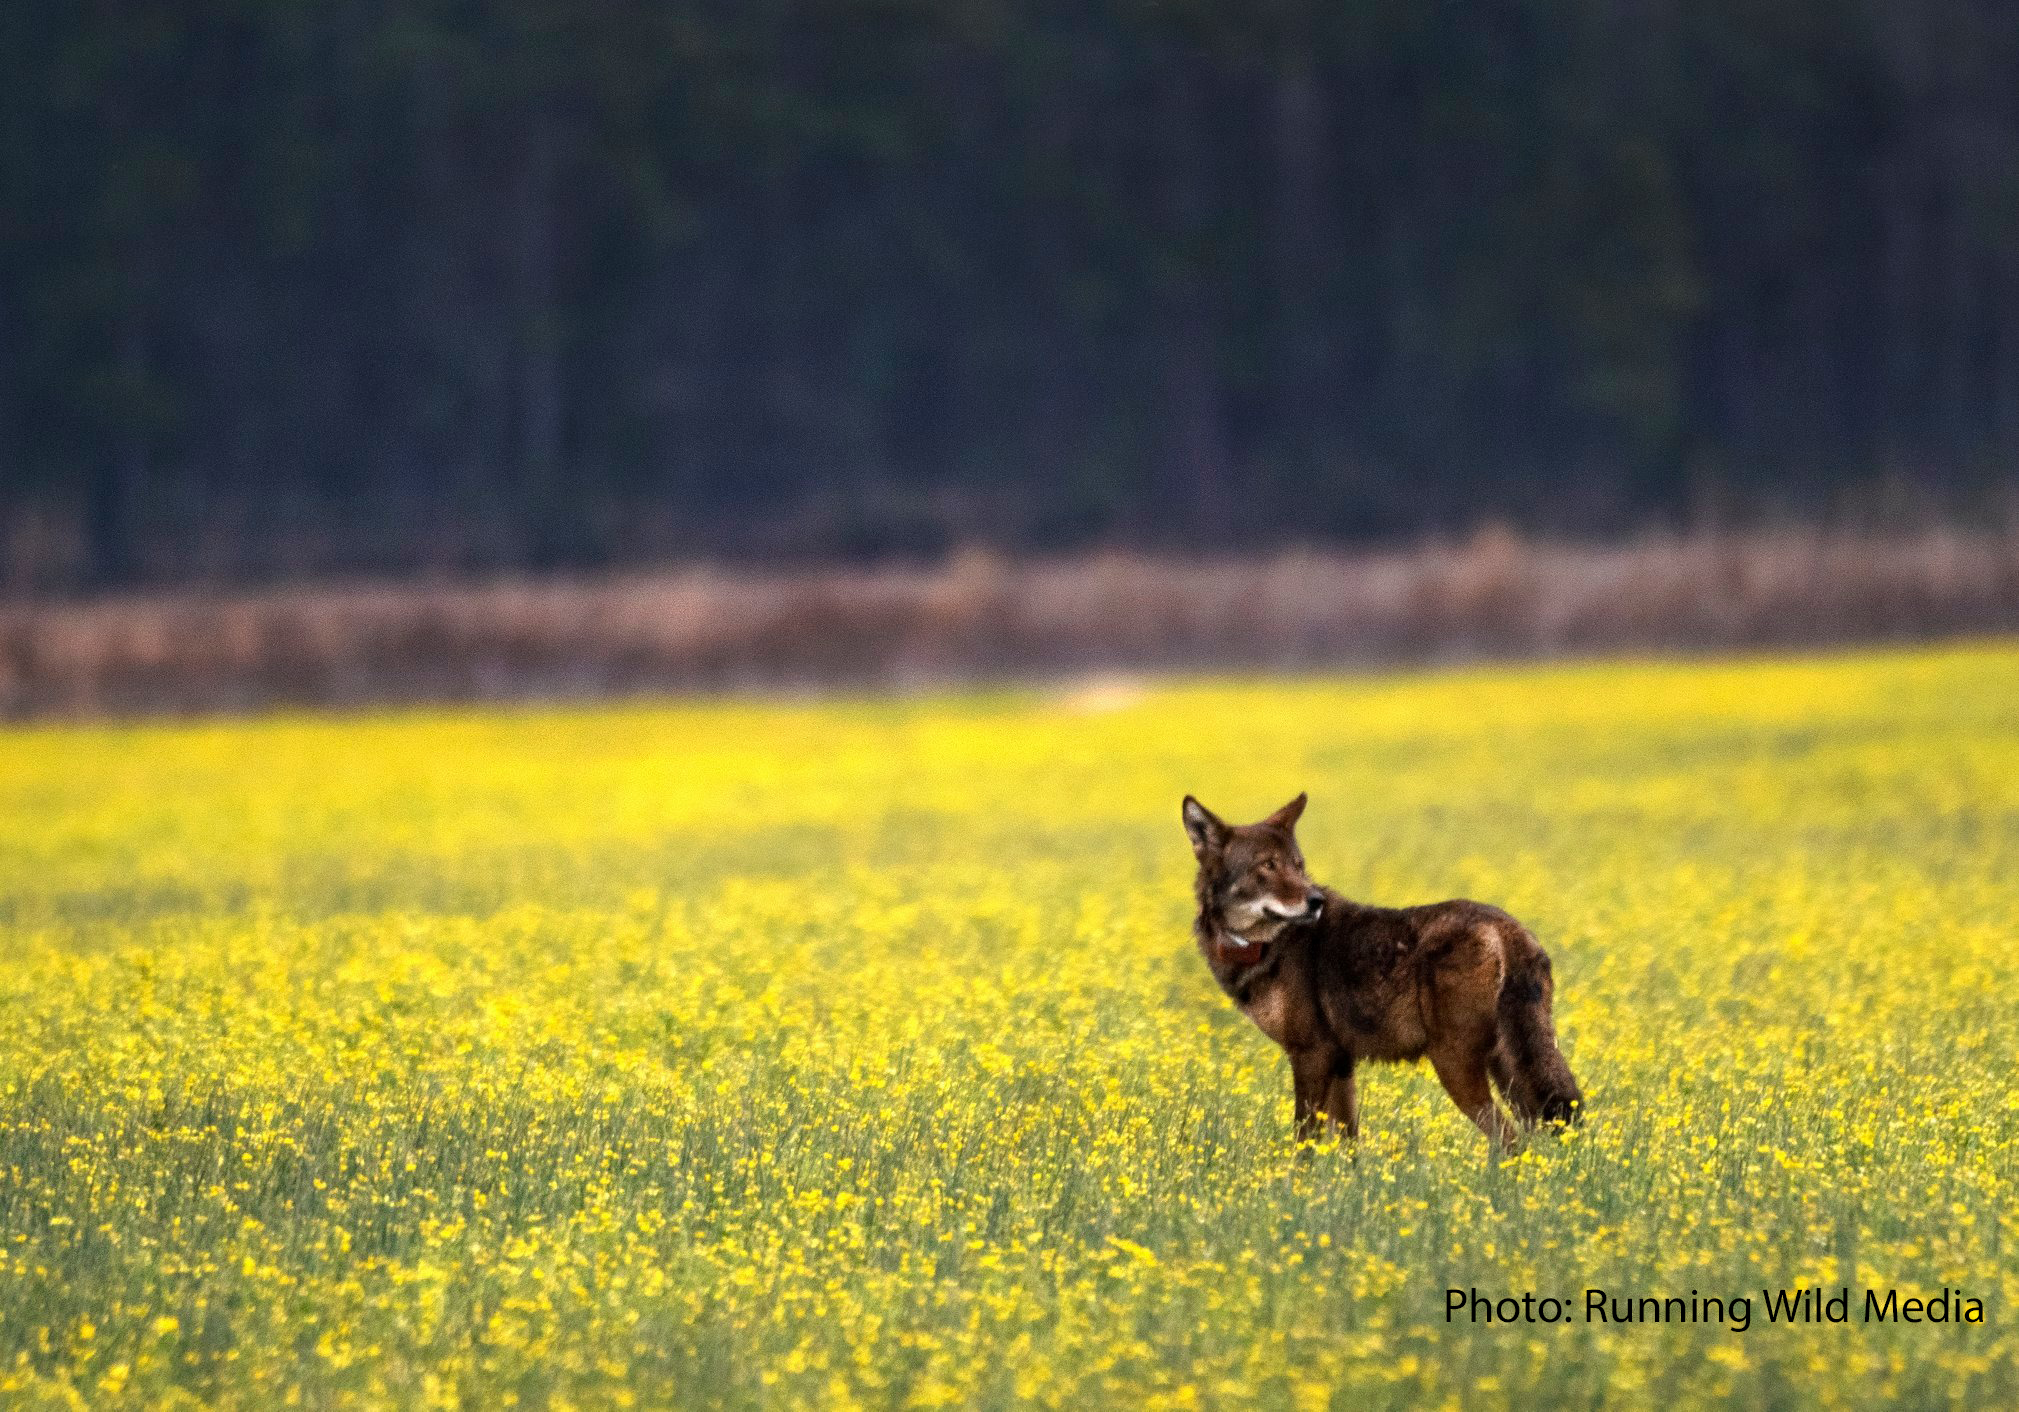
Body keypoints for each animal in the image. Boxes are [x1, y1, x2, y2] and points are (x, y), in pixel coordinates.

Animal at [1179, 795, 1582, 1147]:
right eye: (1267, 866)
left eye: (1297, 865)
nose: (1315, 901)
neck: (1267, 946)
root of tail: (1508, 928)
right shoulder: (1341, 1062)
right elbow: (1348, 1146)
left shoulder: (1311, 1055)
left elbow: (1303, 1145)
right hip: (1511, 1071)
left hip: (1457, 1065)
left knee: (1508, 1140)